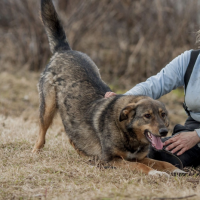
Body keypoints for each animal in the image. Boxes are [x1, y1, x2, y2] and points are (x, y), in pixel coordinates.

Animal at [32, 0, 185, 177]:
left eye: (163, 115)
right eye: (147, 116)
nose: (164, 132)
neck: (126, 130)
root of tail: (64, 50)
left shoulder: (139, 157)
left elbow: (160, 162)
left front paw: (175, 169)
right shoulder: (113, 160)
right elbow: (141, 166)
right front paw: (155, 173)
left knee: (73, 138)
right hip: (48, 107)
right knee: (42, 134)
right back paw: (36, 152)